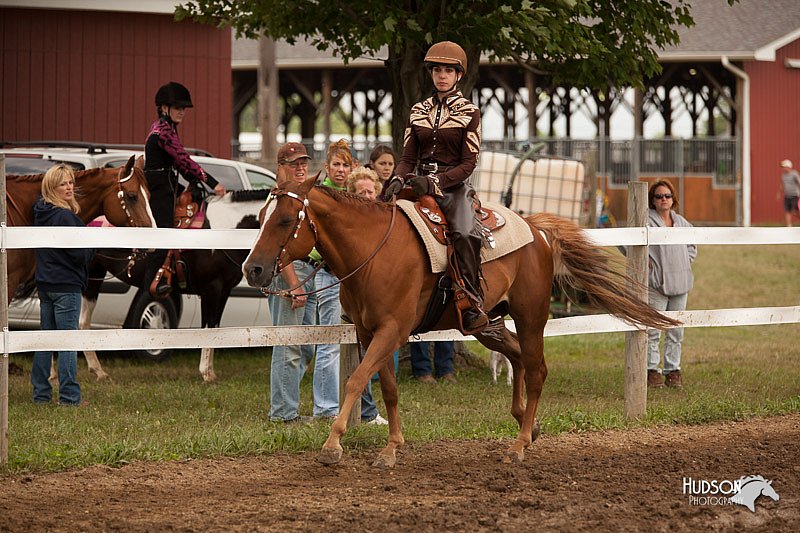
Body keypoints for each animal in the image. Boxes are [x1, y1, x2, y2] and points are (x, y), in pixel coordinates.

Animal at [80, 189, 268, 380]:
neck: (223, 230)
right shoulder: (211, 290)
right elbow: (208, 327)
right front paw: (206, 373)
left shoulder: (224, 292)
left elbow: (215, 327)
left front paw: (210, 372)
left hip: (95, 275)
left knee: (83, 322)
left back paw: (98, 370)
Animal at [241, 177, 680, 468]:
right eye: (261, 215)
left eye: (285, 220)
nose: (254, 269)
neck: (373, 252)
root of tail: (536, 230)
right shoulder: (370, 333)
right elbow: (388, 388)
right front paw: (391, 447)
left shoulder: (392, 331)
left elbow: (356, 379)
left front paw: (333, 445)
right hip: (484, 324)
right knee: (516, 357)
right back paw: (527, 422)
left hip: (531, 316)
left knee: (536, 368)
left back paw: (520, 444)